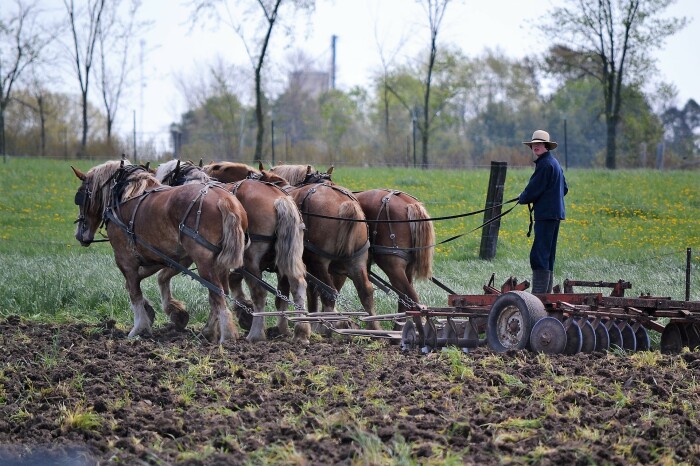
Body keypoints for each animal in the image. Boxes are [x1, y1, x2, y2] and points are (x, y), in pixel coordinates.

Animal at [72, 159, 247, 342]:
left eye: (80, 196)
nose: (80, 235)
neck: (124, 197)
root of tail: (224, 200)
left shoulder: (125, 259)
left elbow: (134, 292)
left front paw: (139, 328)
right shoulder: (165, 257)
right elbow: (147, 280)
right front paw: (170, 312)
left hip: (204, 262)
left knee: (217, 294)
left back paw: (226, 335)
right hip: (220, 263)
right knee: (220, 293)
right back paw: (212, 331)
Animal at [154, 160, 310, 342]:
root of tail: (280, 198)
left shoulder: (193, 256)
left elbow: (212, 292)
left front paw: (207, 328)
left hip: (251, 261)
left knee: (259, 293)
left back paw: (256, 334)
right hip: (289, 257)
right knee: (297, 286)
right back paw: (299, 331)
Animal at [205, 162, 378, 330]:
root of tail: (347, 204)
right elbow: (289, 294)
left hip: (319, 262)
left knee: (329, 293)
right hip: (356, 260)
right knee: (365, 291)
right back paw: (373, 327)